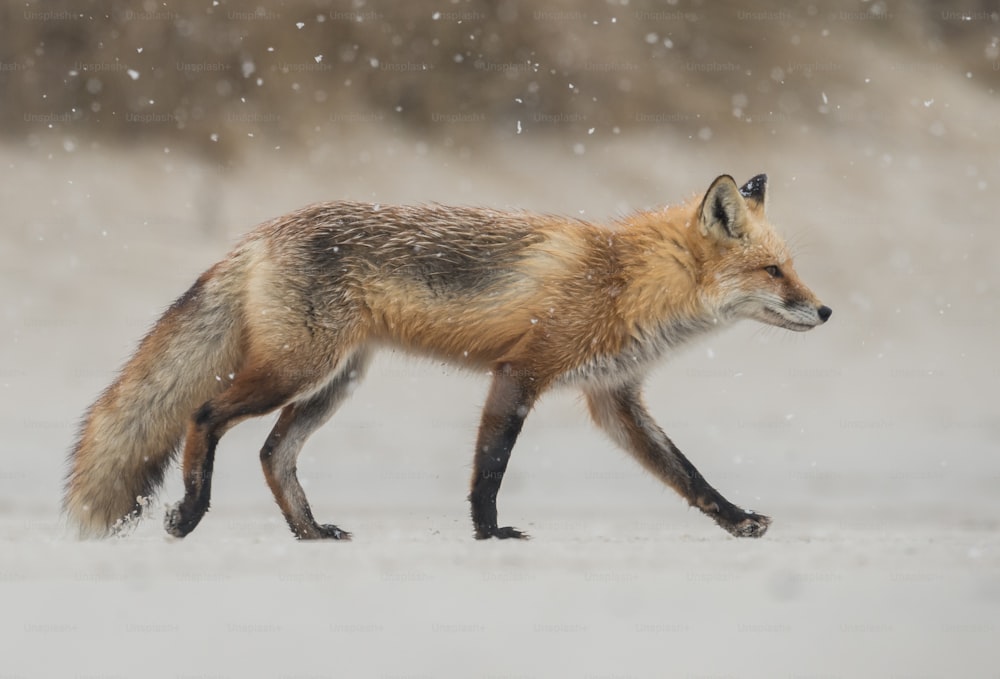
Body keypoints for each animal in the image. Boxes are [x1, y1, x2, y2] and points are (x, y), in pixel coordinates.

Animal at [60, 174, 828, 540]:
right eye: (772, 272)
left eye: (792, 267)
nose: (825, 312)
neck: (627, 279)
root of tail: (259, 233)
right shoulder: (522, 371)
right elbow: (490, 469)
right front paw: (490, 534)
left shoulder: (613, 398)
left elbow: (688, 474)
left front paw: (737, 521)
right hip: (294, 372)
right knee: (203, 413)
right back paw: (192, 511)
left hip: (335, 381)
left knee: (273, 454)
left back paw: (310, 533)